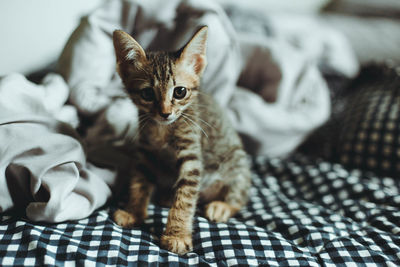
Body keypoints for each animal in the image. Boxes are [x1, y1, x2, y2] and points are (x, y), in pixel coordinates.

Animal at [111, 27, 250, 255]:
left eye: (180, 91)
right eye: (147, 93)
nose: (165, 113)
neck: (162, 129)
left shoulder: (191, 153)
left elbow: (185, 197)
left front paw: (177, 235)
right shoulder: (146, 152)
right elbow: (139, 182)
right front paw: (134, 212)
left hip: (237, 161)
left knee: (240, 193)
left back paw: (222, 206)